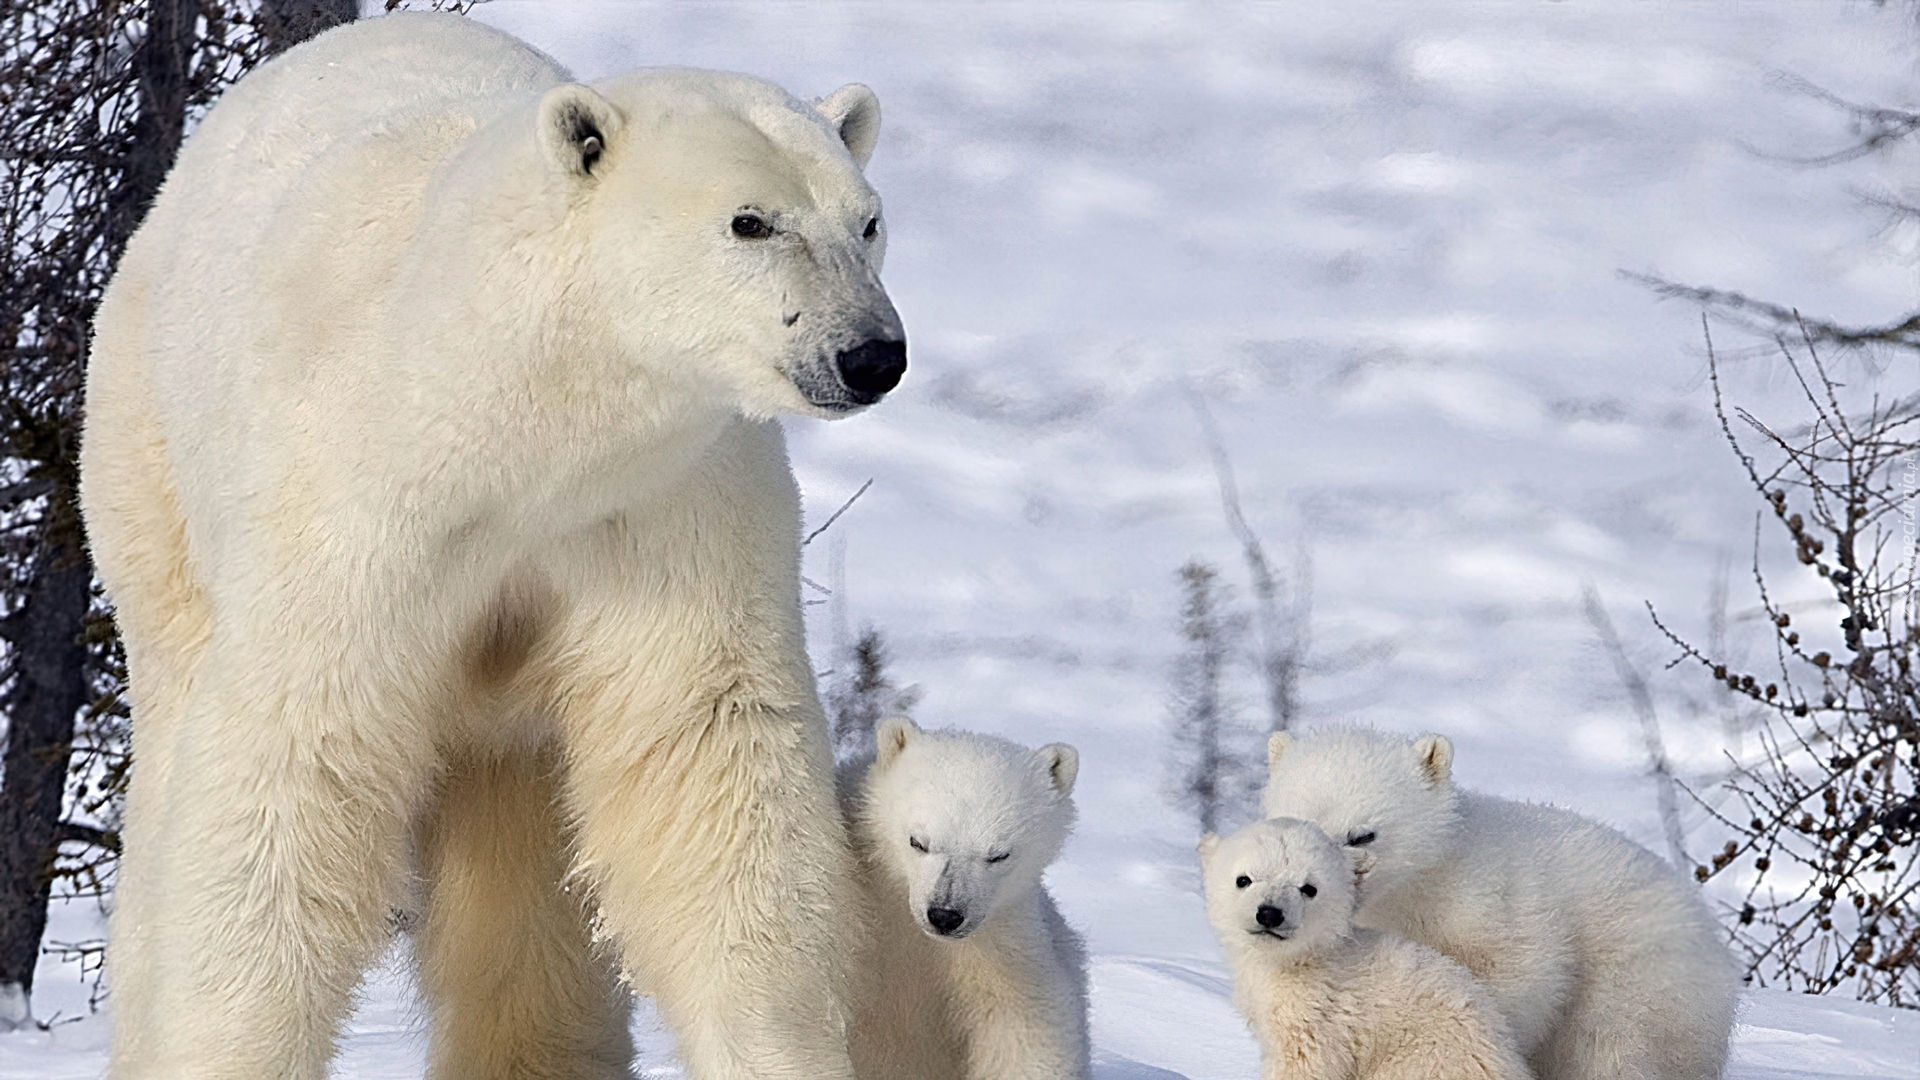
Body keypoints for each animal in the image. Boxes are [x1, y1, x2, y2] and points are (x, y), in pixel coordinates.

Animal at [82, 10, 906, 1076]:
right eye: (749, 222)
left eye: (868, 222)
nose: (871, 353)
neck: (515, 432)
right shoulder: (356, 512)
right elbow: (296, 763)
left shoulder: (668, 510)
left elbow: (706, 759)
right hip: (149, 459)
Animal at [1259, 722, 1743, 1076]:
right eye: (1298, 825)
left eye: (1362, 835)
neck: (1424, 882)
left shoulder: (1495, 904)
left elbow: (1522, 974)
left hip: (1639, 986)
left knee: (1611, 1049)